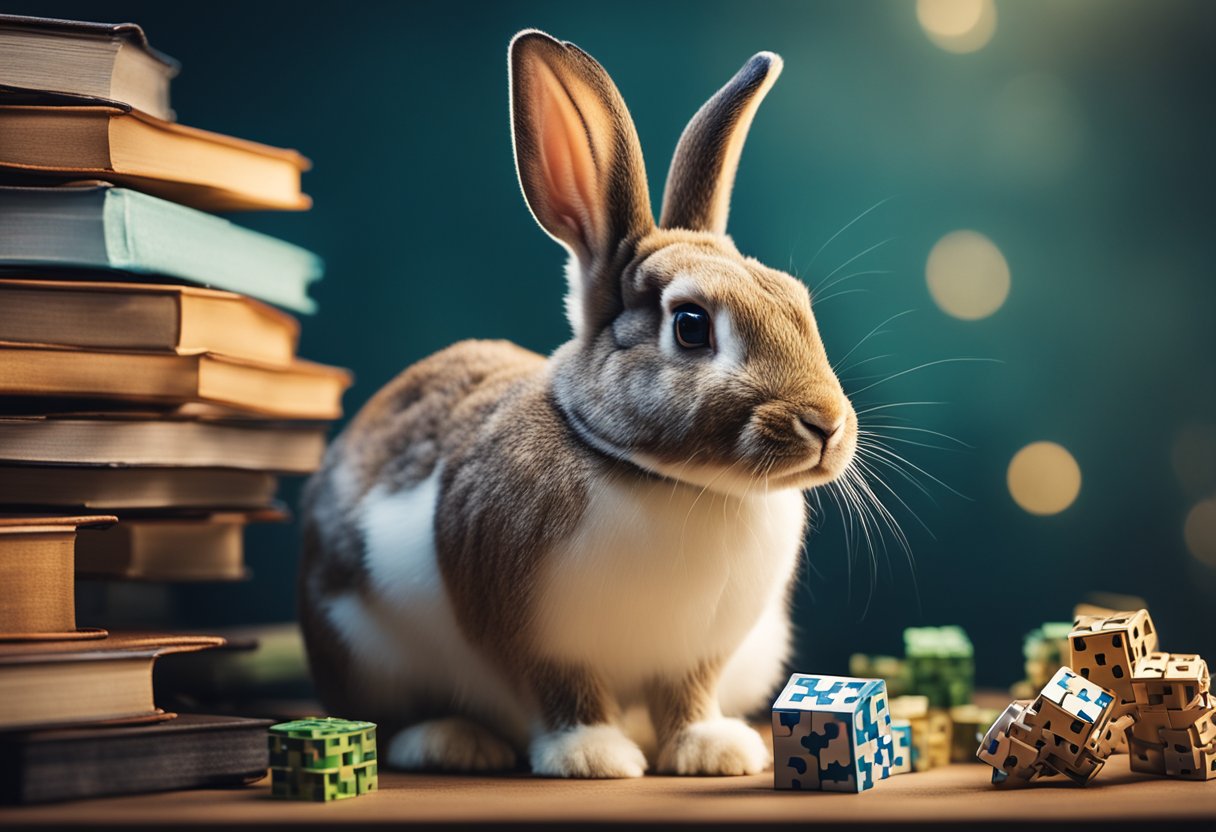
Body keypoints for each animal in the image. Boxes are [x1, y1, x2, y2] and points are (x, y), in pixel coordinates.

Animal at [299, 27, 860, 778]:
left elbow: (690, 695)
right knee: (390, 719)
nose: (826, 425)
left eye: (797, 303)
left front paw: (714, 750)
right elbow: (565, 692)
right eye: (691, 326)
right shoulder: (535, 638)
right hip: (361, 651)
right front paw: (593, 757)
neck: (670, 483)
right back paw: (454, 742)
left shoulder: (700, 654)